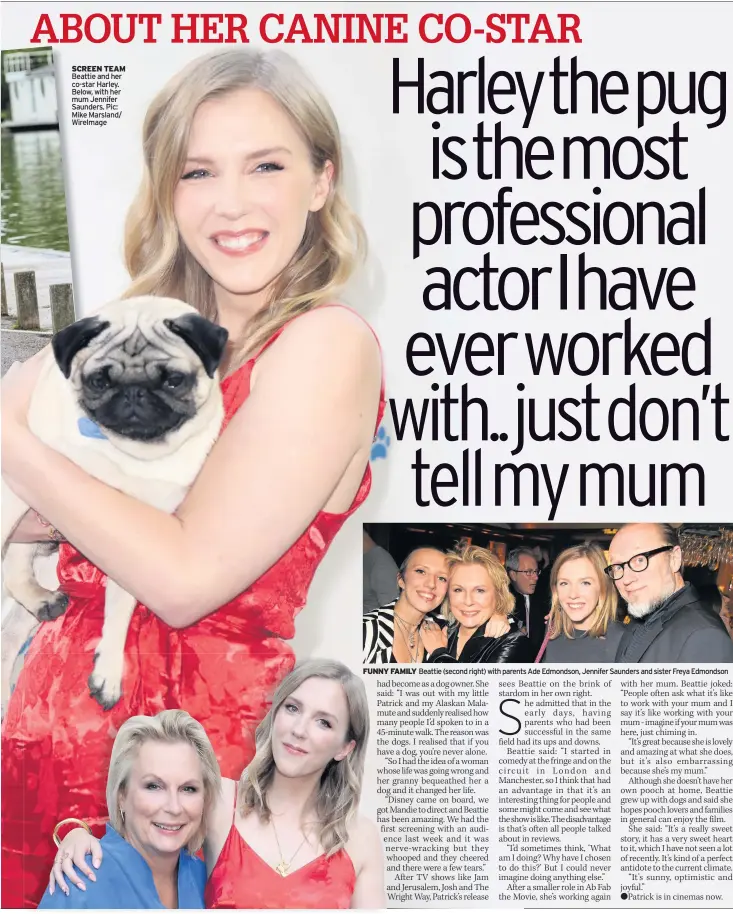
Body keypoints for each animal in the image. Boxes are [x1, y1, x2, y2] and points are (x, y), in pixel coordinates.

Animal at [1, 296, 227, 708]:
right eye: (99, 380)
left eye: (173, 379)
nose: (133, 393)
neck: (124, 452)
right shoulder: (17, 474)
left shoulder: (133, 545)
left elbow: (121, 606)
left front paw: (108, 668)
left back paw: (42, 602)